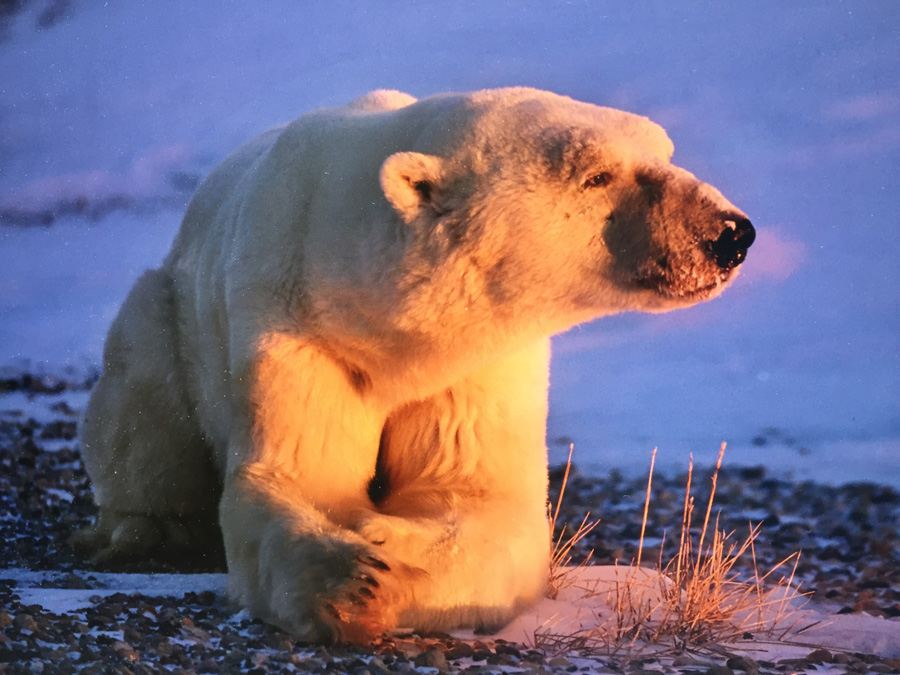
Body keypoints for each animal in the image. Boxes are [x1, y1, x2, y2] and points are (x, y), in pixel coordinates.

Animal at [74, 87, 754, 643]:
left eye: (664, 149)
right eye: (597, 175)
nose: (730, 233)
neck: (381, 318)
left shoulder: (476, 363)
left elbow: (479, 501)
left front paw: (387, 546)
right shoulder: (295, 326)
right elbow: (294, 477)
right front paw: (351, 581)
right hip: (173, 318)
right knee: (142, 405)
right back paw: (146, 532)